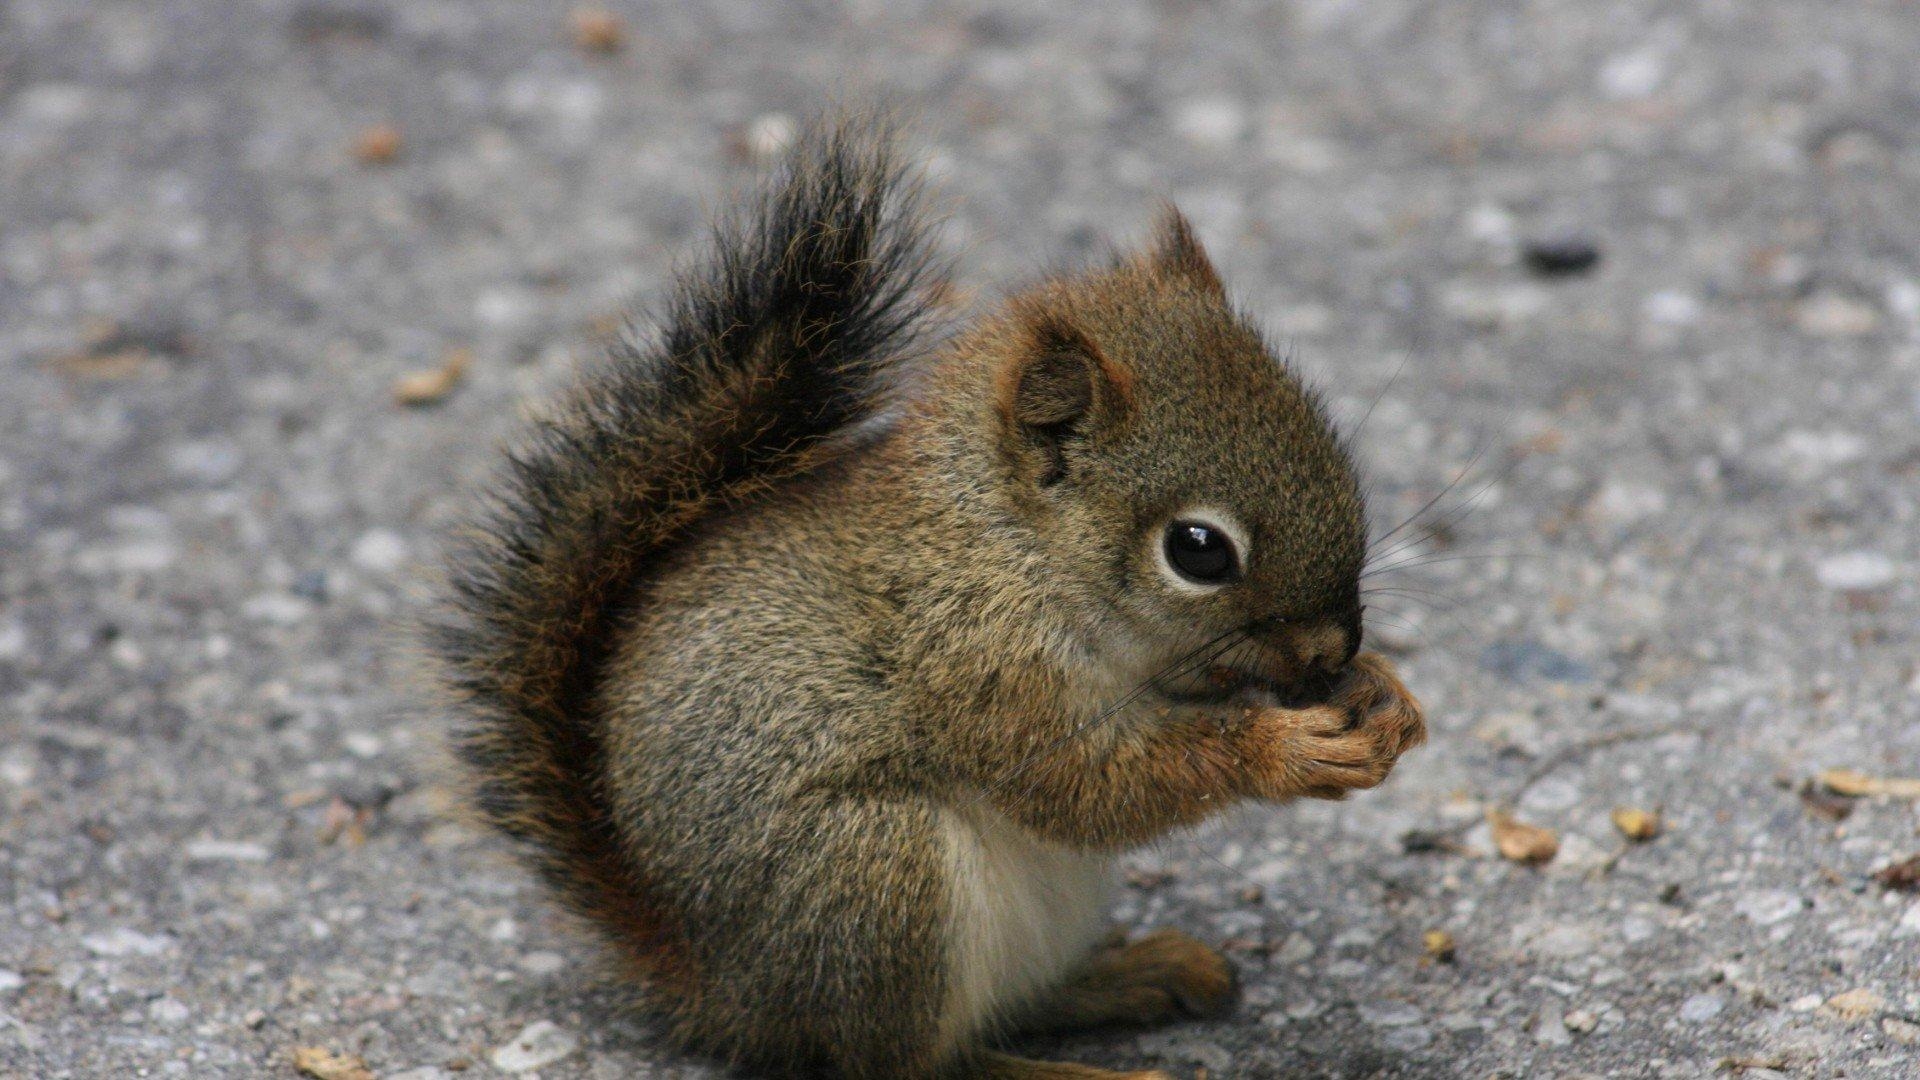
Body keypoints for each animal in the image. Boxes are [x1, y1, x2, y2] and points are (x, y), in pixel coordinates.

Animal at [435, 117, 1428, 1076]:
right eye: (1198, 551)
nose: (1333, 649)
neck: (1011, 546)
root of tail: (726, 994)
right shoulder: (978, 662)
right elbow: (1085, 785)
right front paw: (1287, 750)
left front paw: (1386, 695)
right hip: (876, 877)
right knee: (914, 1060)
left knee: (1013, 1008)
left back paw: (1138, 973)